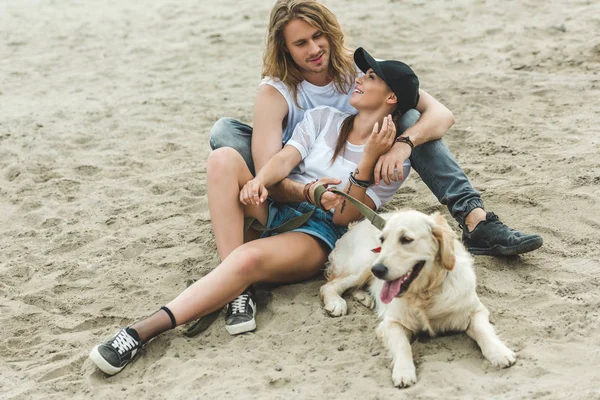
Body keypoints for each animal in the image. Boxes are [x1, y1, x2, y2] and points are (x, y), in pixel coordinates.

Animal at [318, 209, 516, 388]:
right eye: (382, 240)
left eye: (406, 239)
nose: (378, 270)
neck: (425, 293)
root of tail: (354, 226)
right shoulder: (391, 323)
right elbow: (403, 345)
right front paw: (404, 372)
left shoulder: (475, 310)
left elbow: (483, 330)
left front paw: (499, 353)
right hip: (365, 264)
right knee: (329, 285)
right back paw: (336, 303)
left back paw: (365, 297)